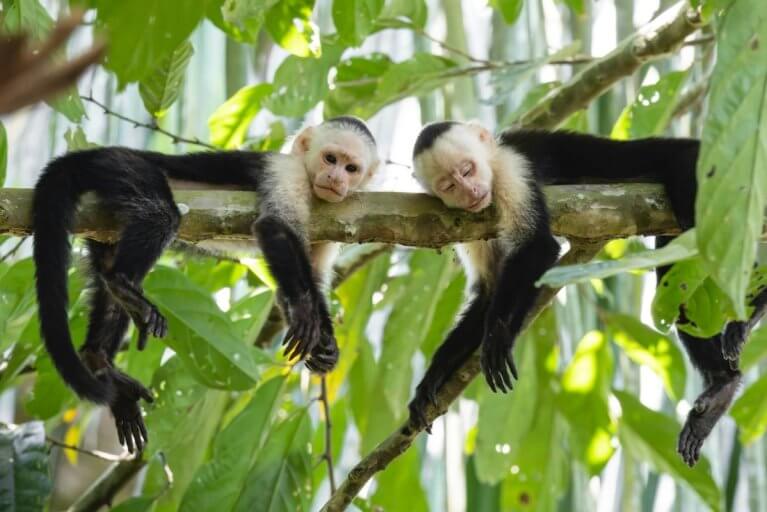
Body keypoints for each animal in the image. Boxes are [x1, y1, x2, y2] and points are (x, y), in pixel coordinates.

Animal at [32, 116, 380, 452]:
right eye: (330, 158)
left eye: (351, 168)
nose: (335, 178)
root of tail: (99, 152)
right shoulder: (286, 172)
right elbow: (275, 226)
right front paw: (307, 314)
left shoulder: (334, 216)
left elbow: (309, 280)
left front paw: (325, 344)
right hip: (121, 167)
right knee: (160, 214)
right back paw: (123, 284)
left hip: (103, 226)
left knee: (106, 270)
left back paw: (99, 357)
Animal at [406, 121, 767, 467]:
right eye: (449, 186)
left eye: (467, 170)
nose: (471, 192)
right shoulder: (470, 223)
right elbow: (490, 289)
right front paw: (434, 375)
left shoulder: (511, 170)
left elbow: (539, 247)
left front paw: (498, 335)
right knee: (675, 262)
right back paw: (722, 384)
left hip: (699, 166)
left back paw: (750, 317)